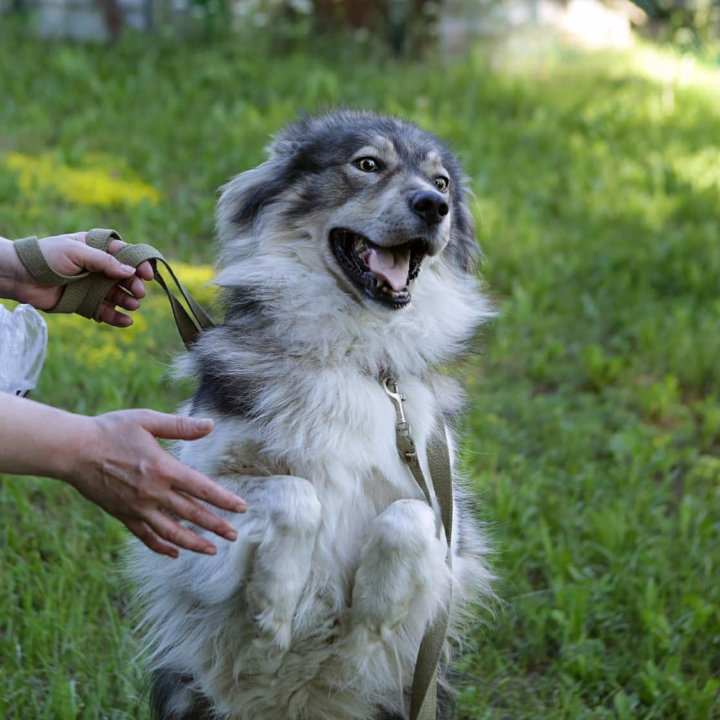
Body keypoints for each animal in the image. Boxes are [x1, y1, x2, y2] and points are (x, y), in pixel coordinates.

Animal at [129, 108, 496, 720]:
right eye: (367, 164)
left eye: (442, 184)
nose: (433, 206)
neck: (351, 354)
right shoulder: (193, 514)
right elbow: (295, 494)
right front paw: (273, 615)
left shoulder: (448, 526)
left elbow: (407, 518)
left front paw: (366, 624)